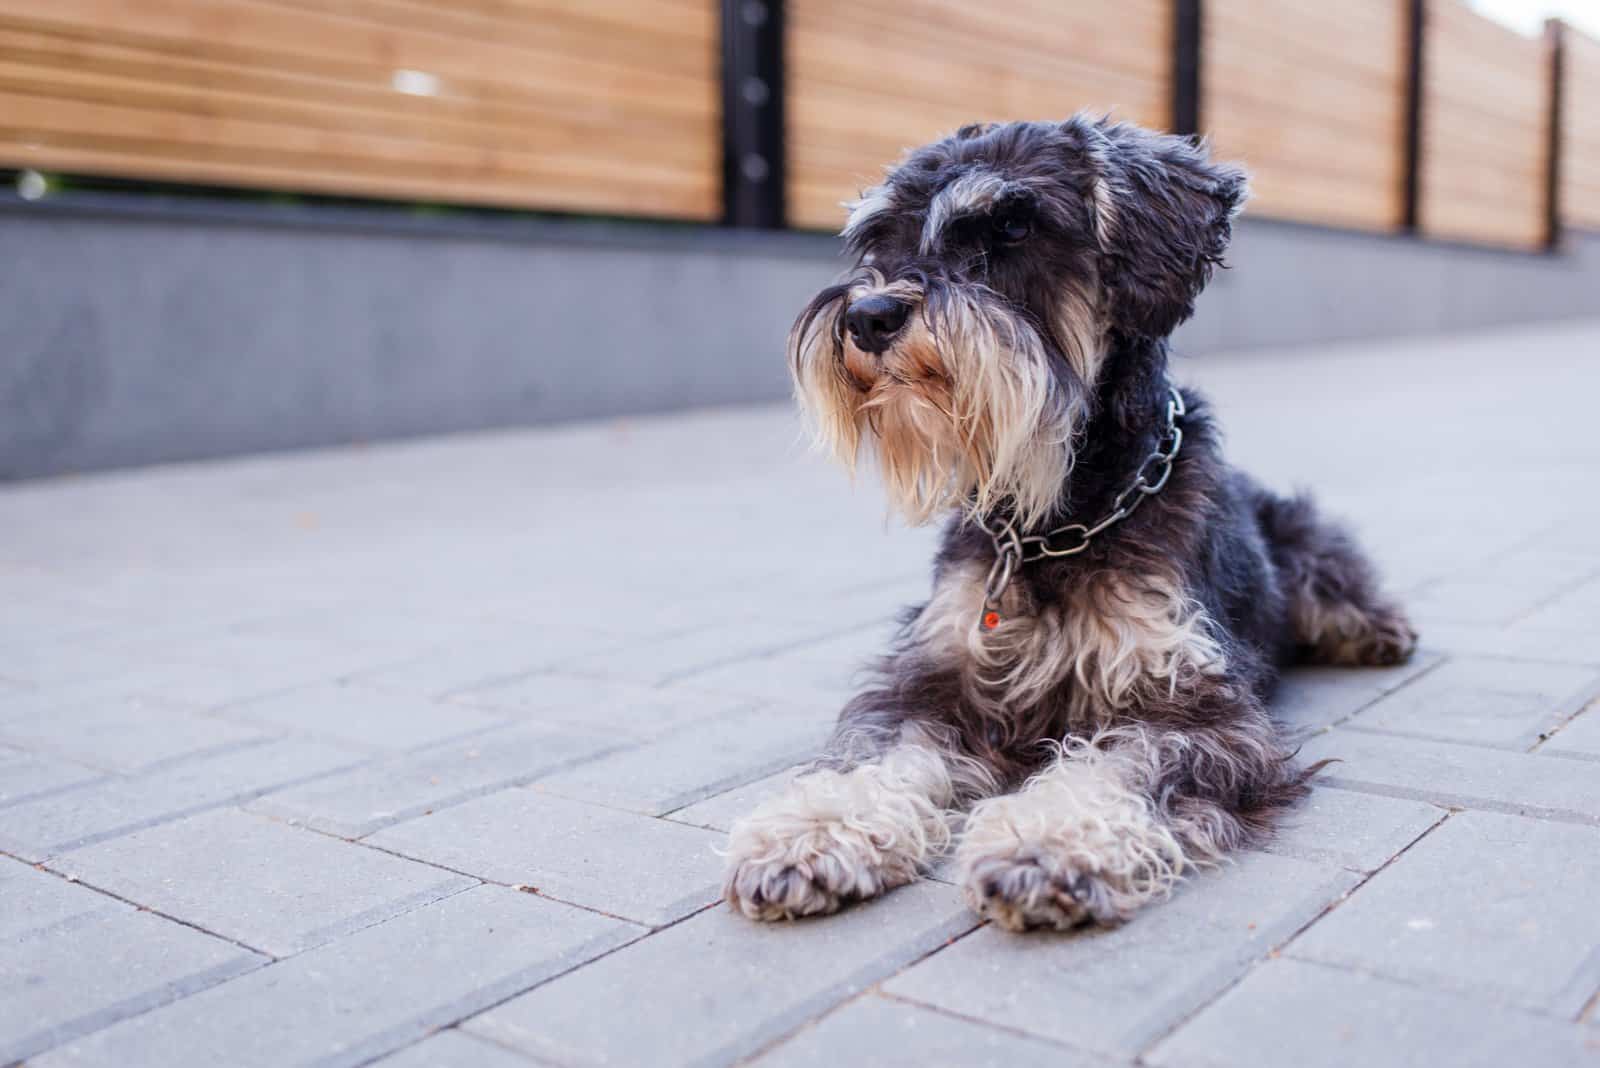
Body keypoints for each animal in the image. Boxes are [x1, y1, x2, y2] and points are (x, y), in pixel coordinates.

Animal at [723, 116, 1414, 927]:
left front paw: (1047, 845)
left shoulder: (1190, 706)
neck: (1051, 523)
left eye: (1013, 226)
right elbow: (874, 750)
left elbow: (1118, 768)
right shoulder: (930, 676)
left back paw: (1376, 631)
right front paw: (813, 829)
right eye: (879, 239)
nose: (868, 317)